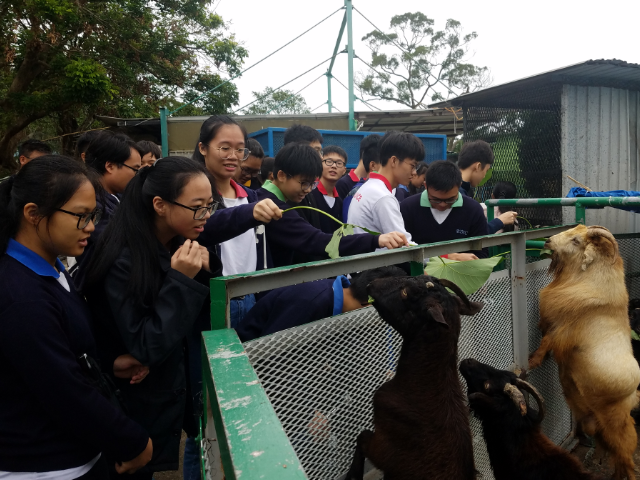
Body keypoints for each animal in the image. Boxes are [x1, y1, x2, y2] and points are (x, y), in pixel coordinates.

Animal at [528, 225, 640, 480]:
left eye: (577, 241)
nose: (548, 241)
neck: (593, 282)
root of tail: (631, 396)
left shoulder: (563, 331)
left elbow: (547, 341)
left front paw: (532, 362)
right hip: (596, 424)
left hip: (616, 422)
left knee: (626, 455)